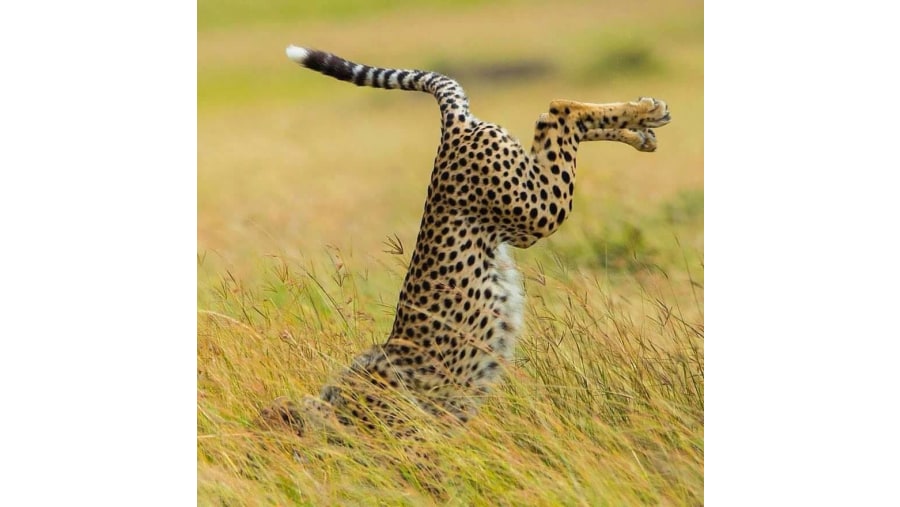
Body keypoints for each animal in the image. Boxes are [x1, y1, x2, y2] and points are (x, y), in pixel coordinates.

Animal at [260, 46, 668, 440]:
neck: (330, 406)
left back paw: (644, 112)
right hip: (523, 217)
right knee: (552, 123)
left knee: (557, 110)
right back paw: (642, 129)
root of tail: (453, 129)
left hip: (537, 210)